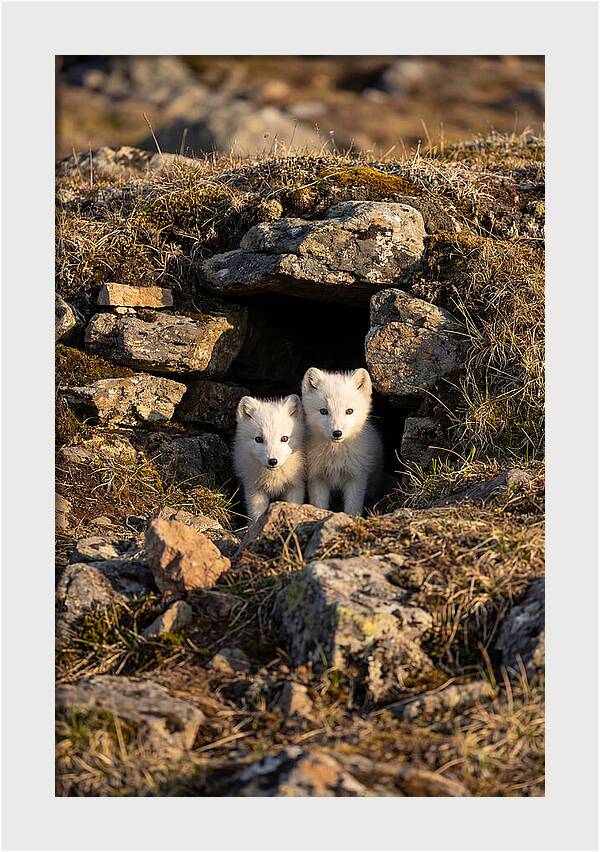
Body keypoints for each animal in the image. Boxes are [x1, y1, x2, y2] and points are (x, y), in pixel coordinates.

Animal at [233, 394, 306, 523]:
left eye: (284, 438)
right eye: (259, 439)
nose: (273, 461)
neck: (273, 477)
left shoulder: (295, 486)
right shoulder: (255, 490)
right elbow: (256, 516)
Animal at [301, 367, 384, 515]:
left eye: (349, 411)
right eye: (323, 411)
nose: (337, 433)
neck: (335, 455)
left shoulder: (356, 478)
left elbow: (352, 508)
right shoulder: (316, 478)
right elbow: (320, 505)